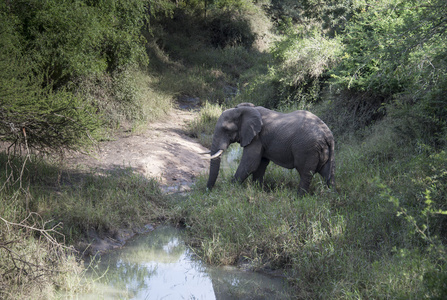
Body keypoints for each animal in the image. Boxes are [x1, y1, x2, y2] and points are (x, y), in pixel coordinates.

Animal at [203, 102, 336, 196]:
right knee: (328, 173)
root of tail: (328, 135)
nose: (208, 191)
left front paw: (229, 189)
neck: (244, 109)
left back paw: (299, 198)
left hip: (307, 149)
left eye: (226, 129)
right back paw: (331, 195)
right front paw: (257, 190)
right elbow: (260, 164)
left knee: (305, 173)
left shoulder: (257, 137)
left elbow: (250, 163)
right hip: (323, 150)